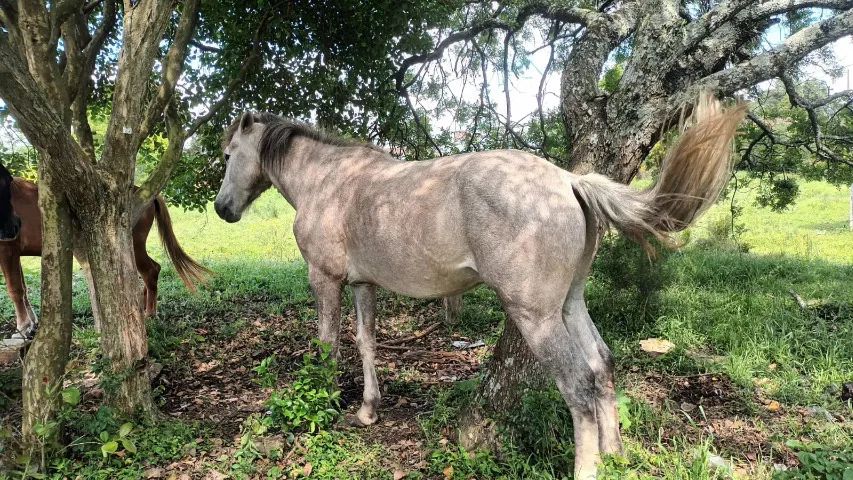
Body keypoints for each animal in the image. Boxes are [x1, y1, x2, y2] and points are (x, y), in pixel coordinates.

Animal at [0, 164, 210, 337]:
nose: (13, 226)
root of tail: (146, 195)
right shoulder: (15, 253)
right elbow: (23, 288)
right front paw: (31, 323)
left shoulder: (7, 250)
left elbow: (15, 289)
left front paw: (24, 326)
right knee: (151, 271)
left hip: (133, 245)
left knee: (151, 271)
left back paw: (149, 313)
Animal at [213, 92, 745, 479]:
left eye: (228, 153)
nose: (222, 209)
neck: (330, 182)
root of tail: (567, 180)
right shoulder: (364, 285)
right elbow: (366, 343)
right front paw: (368, 409)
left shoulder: (325, 280)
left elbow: (326, 344)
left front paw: (321, 406)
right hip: (570, 305)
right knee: (601, 364)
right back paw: (614, 455)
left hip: (537, 317)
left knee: (578, 386)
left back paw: (588, 467)